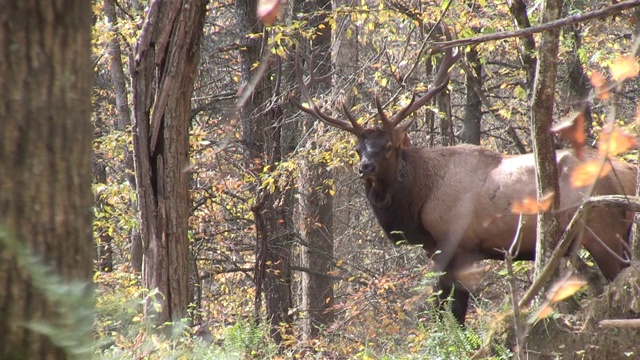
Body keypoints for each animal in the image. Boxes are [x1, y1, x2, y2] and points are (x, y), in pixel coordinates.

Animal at [290, 44, 636, 324]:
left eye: (388, 145)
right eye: (358, 149)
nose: (366, 167)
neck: (419, 201)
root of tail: (630, 174)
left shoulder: (457, 243)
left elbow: (452, 309)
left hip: (602, 231)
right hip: (620, 233)